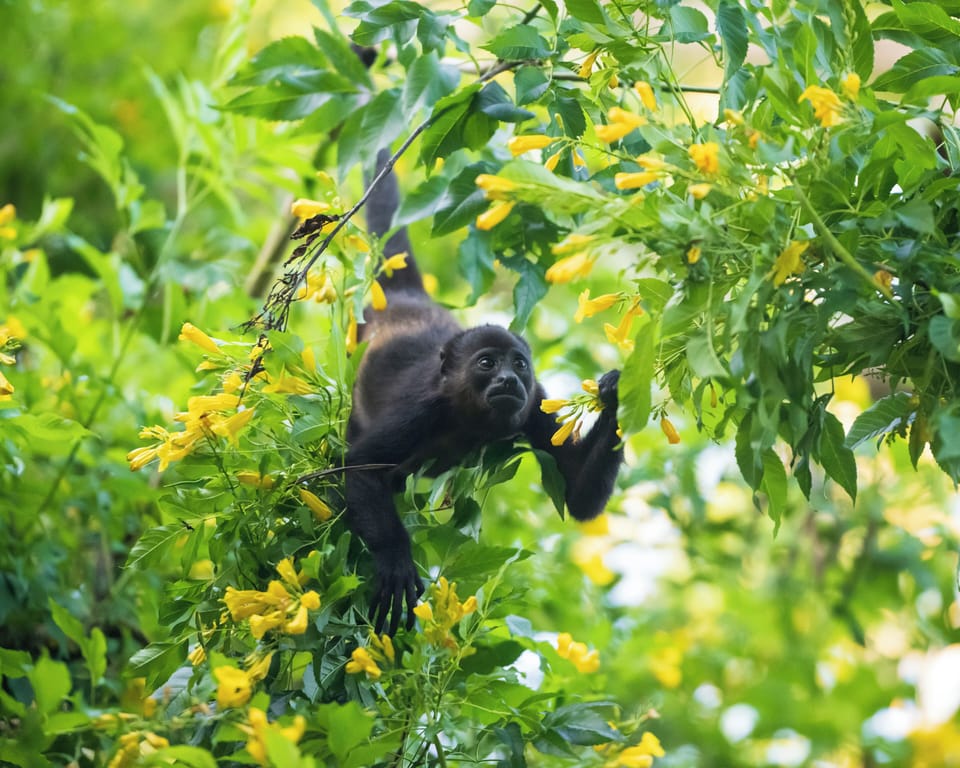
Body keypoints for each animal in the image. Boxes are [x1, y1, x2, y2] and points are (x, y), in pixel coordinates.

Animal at [345, 150, 624, 635]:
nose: (508, 381)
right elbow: (359, 466)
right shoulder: (422, 409)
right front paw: (396, 560)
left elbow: (579, 495)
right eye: (488, 363)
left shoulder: (534, 402)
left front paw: (612, 395)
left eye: (519, 364)